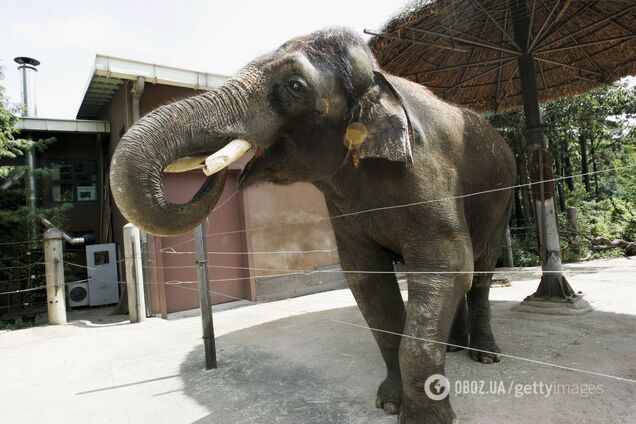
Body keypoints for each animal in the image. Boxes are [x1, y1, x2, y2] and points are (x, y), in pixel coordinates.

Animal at [109, 28, 516, 422]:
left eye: (295, 86)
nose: (213, 167)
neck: (379, 79)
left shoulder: (429, 176)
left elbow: (446, 267)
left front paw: (423, 418)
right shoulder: (344, 208)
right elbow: (366, 280)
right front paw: (389, 404)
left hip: (503, 199)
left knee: (480, 270)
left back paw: (484, 354)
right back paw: (454, 346)